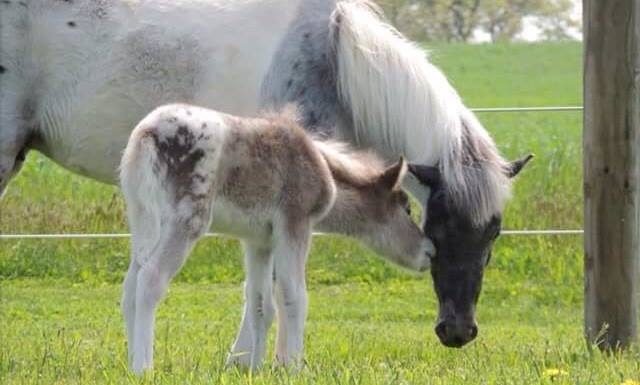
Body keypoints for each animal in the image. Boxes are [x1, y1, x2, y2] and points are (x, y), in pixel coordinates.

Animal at [120, 103, 432, 370]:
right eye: (406, 207)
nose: (429, 251)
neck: (321, 168)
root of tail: (147, 132)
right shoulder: (295, 224)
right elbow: (294, 296)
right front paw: (292, 366)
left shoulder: (258, 241)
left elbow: (261, 304)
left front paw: (252, 368)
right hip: (186, 222)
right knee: (151, 279)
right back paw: (143, 368)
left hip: (143, 220)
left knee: (131, 285)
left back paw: (132, 361)